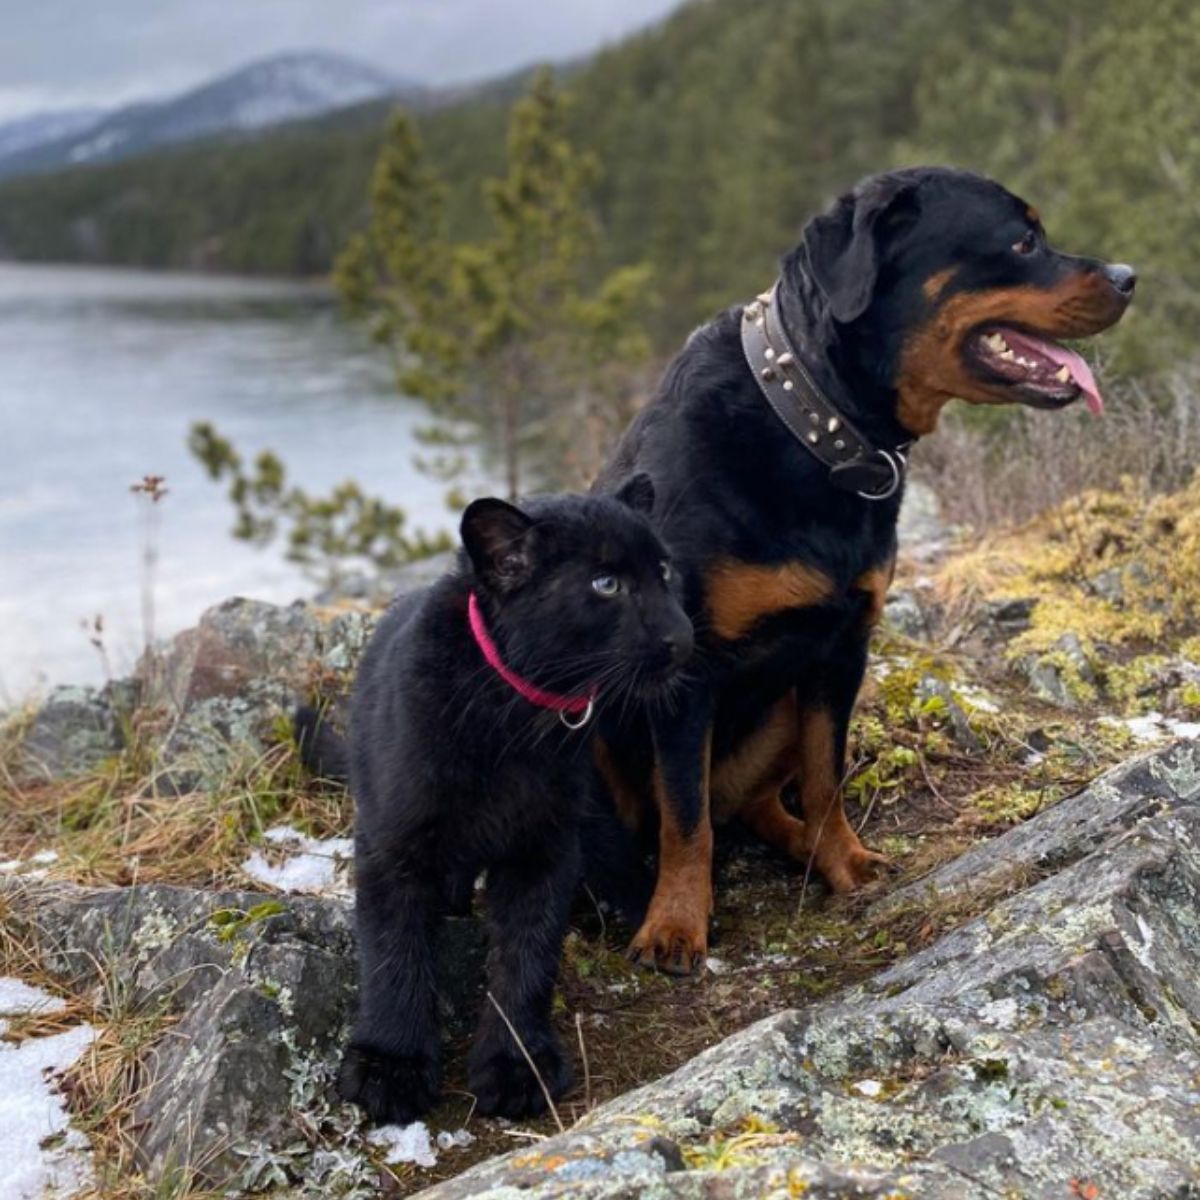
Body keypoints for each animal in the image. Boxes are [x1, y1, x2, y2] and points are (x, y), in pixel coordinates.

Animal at [595, 166, 1137, 974]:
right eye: (1022, 241)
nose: (1130, 276)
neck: (815, 423)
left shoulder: (841, 649)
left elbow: (827, 777)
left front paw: (843, 863)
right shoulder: (686, 669)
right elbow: (684, 815)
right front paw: (675, 924)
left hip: (781, 710)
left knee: (753, 804)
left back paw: (795, 845)